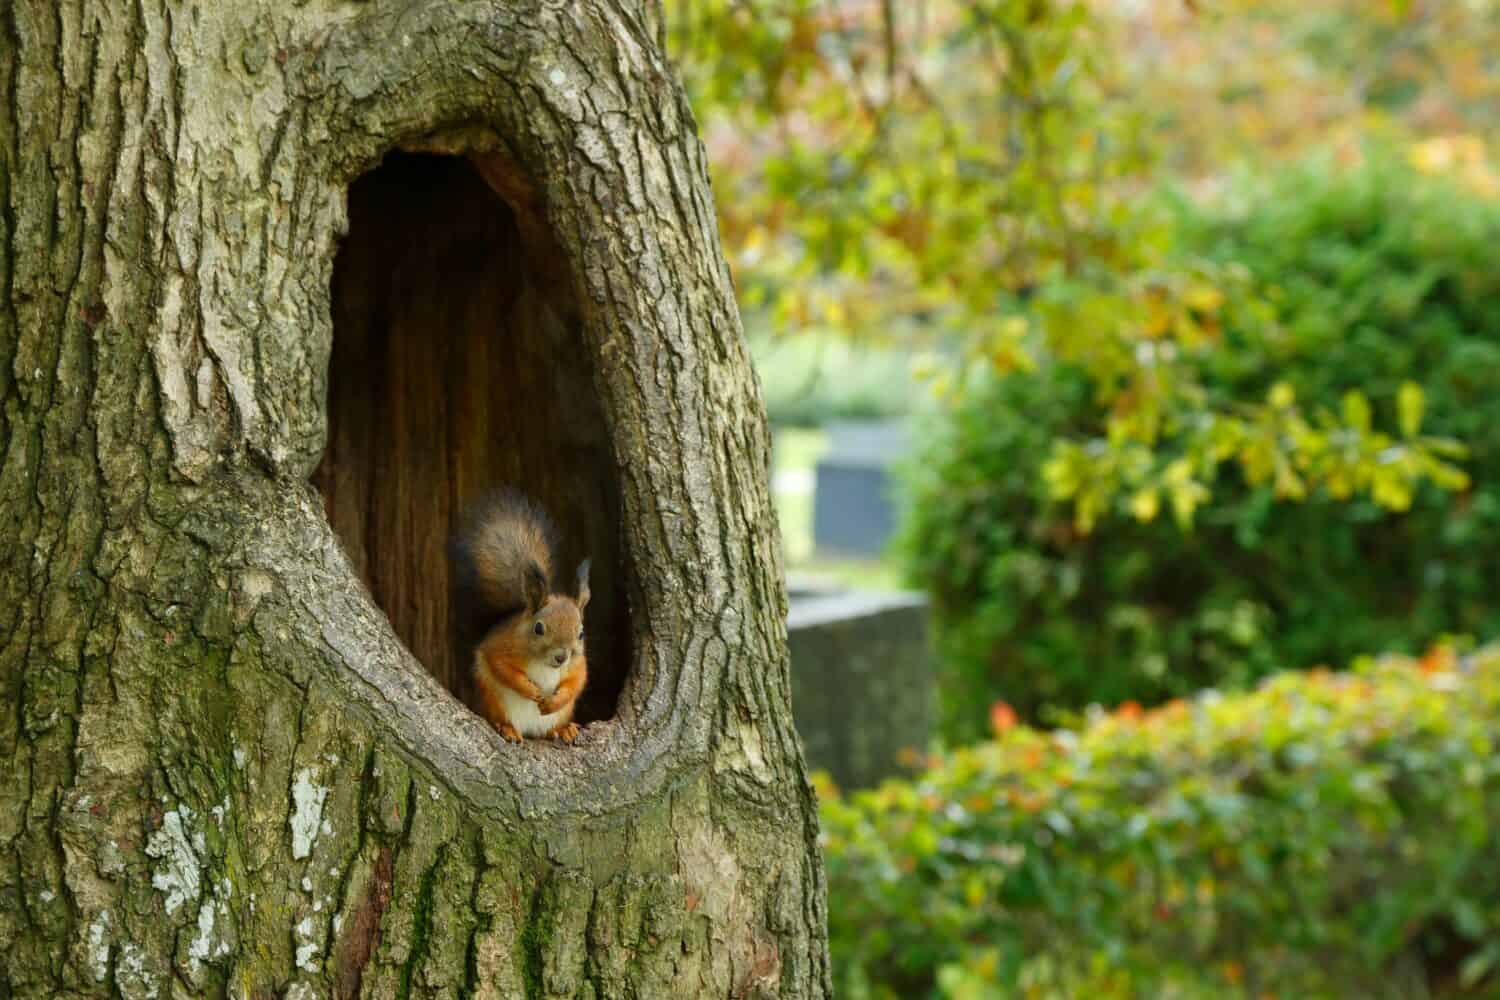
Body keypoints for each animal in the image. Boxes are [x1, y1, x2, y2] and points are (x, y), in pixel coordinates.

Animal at [447, 491, 588, 743]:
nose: (561, 657)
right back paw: (507, 728)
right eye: (538, 628)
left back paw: (564, 730)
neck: (544, 663)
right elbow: (501, 667)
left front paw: (555, 700)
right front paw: (531, 690)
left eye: (581, 634)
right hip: (493, 700)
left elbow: (577, 681)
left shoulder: (578, 663)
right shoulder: (500, 646)